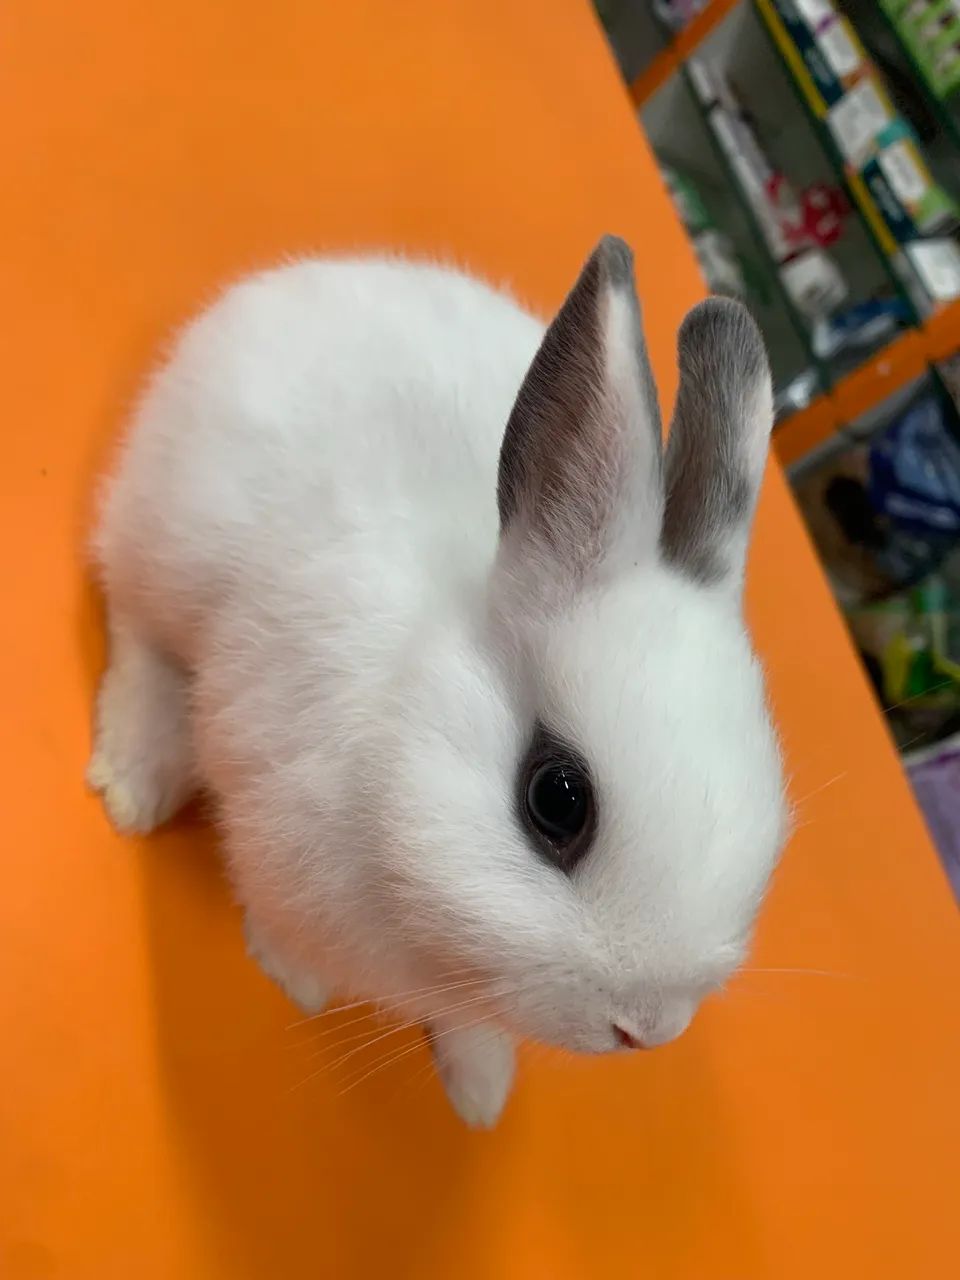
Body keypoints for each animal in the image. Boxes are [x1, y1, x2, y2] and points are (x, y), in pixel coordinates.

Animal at [88, 235, 787, 1128]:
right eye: (557, 799)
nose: (646, 1027)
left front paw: (480, 1092)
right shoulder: (263, 794)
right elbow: (272, 905)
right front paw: (292, 976)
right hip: (163, 539)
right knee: (134, 624)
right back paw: (135, 781)